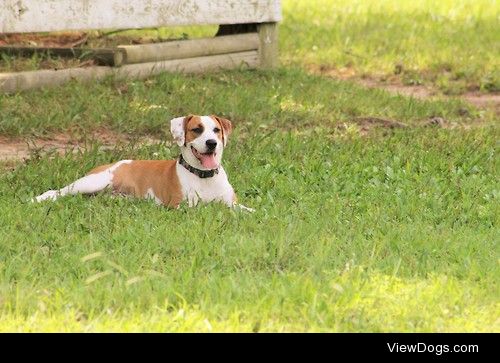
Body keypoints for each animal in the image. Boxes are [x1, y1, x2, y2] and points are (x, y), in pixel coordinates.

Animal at [32, 115, 254, 212]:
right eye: (196, 130)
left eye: (216, 130)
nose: (211, 143)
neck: (204, 177)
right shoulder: (181, 207)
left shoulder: (232, 203)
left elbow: (245, 210)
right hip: (92, 182)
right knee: (58, 191)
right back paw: (38, 199)